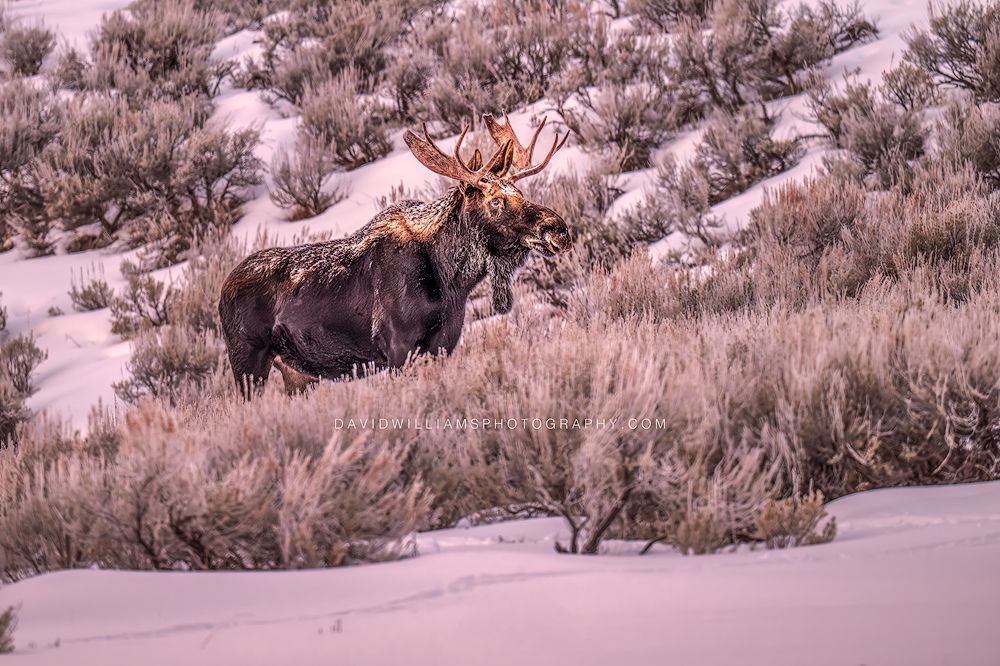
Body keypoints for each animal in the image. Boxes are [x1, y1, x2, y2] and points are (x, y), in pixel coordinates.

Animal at [218, 114, 571, 398]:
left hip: (297, 374)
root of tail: (221, 292)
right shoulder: (398, 349)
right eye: (495, 200)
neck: (453, 282)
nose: (558, 228)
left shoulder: (442, 346)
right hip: (247, 360)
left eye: (521, 193)